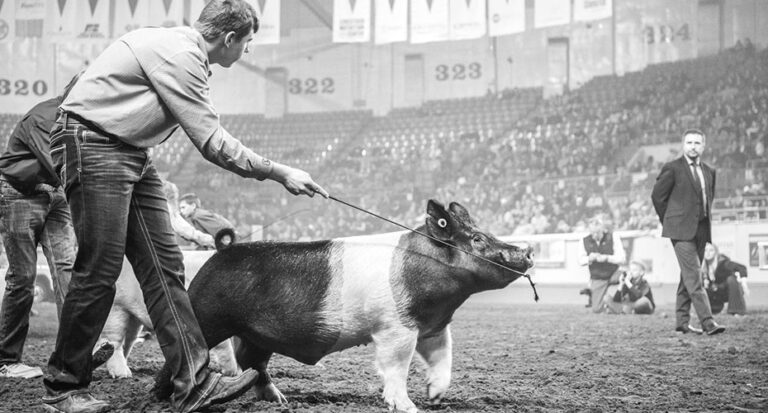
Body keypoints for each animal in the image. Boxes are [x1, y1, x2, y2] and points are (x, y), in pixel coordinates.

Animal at [153, 198, 532, 410]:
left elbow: (443, 360)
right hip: (208, 315)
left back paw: (279, 401)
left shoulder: (433, 326)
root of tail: (219, 253)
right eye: (478, 239)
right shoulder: (395, 328)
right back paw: (161, 397)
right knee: (186, 353)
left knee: (255, 364)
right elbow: (396, 366)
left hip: (256, 334)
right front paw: (408, 407)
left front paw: (436, 397)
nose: (527, 249)